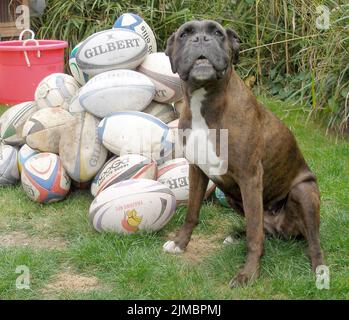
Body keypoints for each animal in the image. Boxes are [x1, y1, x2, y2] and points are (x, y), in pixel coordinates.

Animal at [162, 20, 322, 286]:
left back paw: (319, 268)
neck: (206, 103)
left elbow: (254, 238)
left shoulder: (250, 177)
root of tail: (280, 228)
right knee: (259, 228)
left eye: (217, 32)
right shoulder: (196, 169)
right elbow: (192, 213)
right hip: (233, 196)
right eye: (185, 34)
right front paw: (180, 244)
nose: (201, 39)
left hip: (303, 191)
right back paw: (236, 234)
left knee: (311, 239)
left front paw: (248, 274)